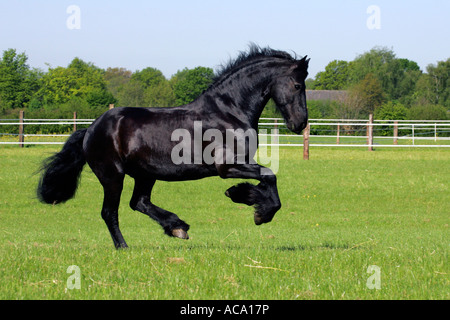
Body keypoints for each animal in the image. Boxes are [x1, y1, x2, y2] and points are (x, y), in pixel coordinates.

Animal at [37, 45, 310, 249]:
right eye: (298, 85)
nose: (300, 123)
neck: (229, 112)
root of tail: (91, 129)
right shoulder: (228, 166)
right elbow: (270, 176)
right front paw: (255, 208)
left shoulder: (241, 163)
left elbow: (267, 179)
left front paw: (247, 197)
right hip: (112, 176)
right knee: (109, 212)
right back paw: (124, 246)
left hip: (145, 175)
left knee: (139, 203)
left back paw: (178, 227)